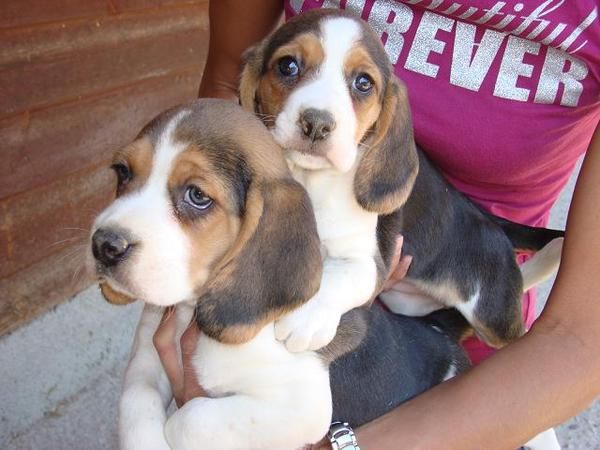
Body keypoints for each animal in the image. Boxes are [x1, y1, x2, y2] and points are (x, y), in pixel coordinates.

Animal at [91, 99, 472, 450]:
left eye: (197, 195)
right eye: (122, 171)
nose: (103, 246)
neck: (192, 312)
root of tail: (441, 334)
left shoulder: (301, 406)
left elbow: (189, 420)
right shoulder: (147, 356)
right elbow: (136, 402)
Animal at [238, 7, 564, 352]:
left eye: (363, 83)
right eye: (288, 66)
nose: (316, 124)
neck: (311, 179)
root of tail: (490, 220)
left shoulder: (371, 262)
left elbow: (343, 276)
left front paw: (306, 319)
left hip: (493, 315)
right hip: (406, 301)